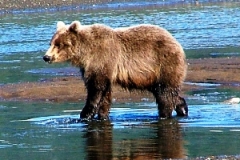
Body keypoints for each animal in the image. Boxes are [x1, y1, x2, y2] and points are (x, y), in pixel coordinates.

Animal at [43, 20, 188, 119]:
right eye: (51, 43)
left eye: (59, 44)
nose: (46, 57)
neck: (85, 53)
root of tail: (177, 43)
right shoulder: (93, 68)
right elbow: (104, 94)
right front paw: (102, 115)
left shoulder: (102, 59)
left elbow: (96, 89)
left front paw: (85, 114)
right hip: (151, 76)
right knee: (166, 92)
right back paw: (182, 108)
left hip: (163, 64)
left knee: (165, 93)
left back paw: (164, 114)